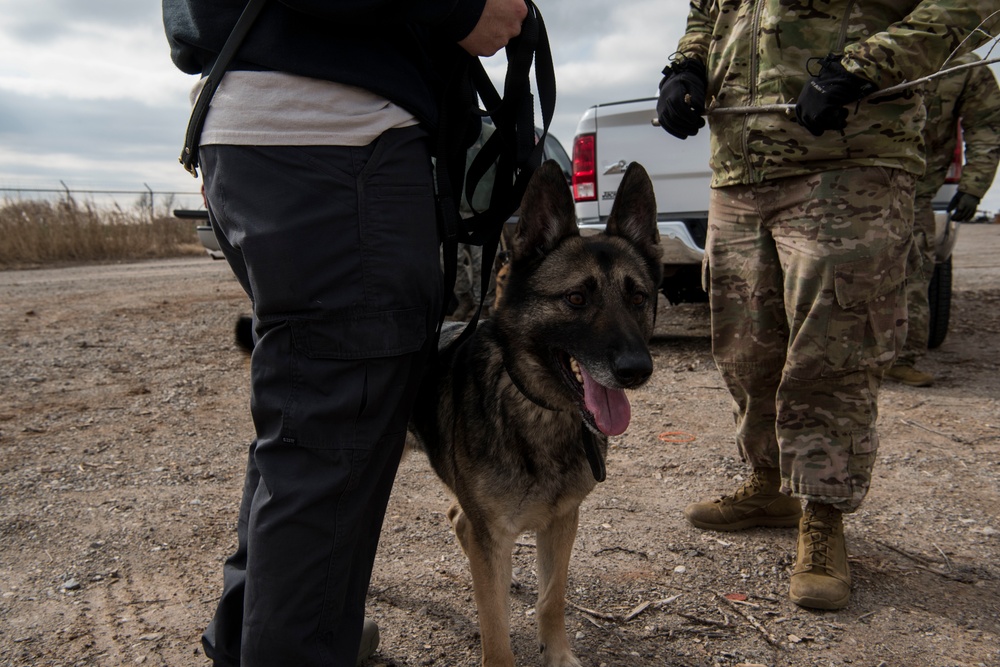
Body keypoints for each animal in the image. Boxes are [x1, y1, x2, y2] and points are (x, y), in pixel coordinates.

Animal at [408, 159, 664, 664]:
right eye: (576, 299)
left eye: (638, 298)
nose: (636, 370)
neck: (539, 409)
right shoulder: (493, 533)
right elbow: (495, 628)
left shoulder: (562, 522)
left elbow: (553, 597)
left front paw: (559, 654)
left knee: (459, 520)